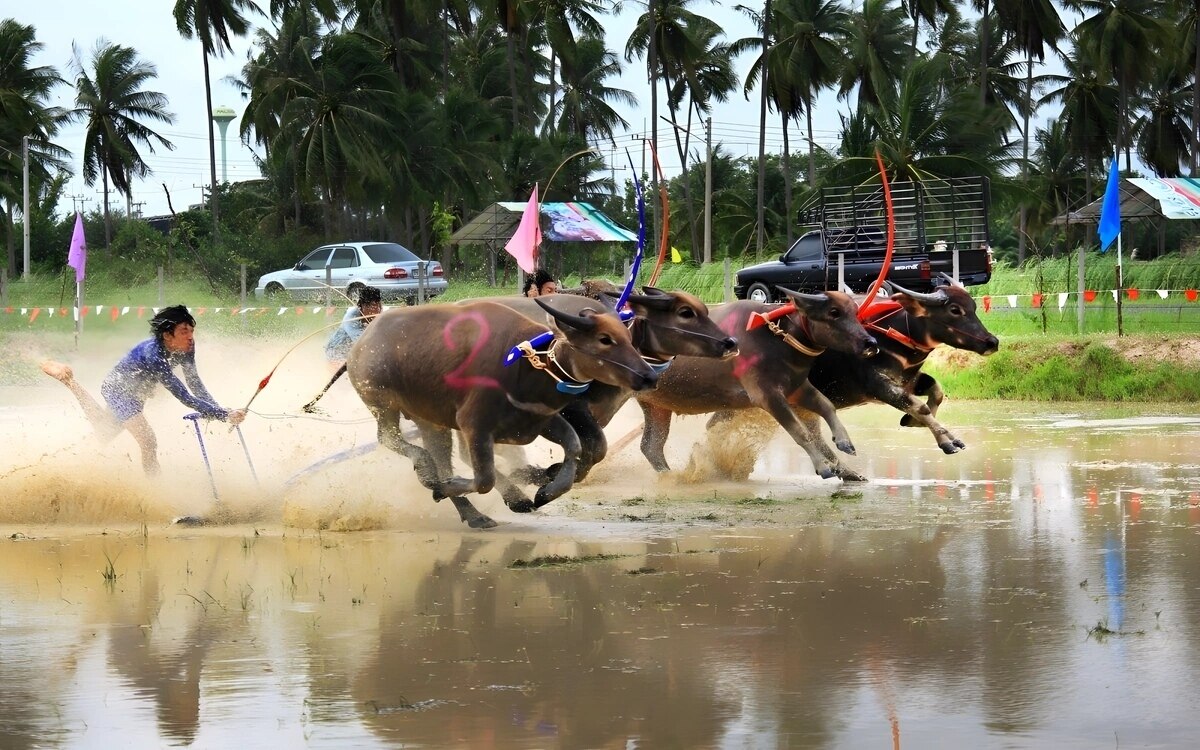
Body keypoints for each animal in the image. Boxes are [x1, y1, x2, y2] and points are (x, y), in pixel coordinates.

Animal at [350, 296, 657, 525]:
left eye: (627, 337)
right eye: (604, 339)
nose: (649, 376)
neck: (525, 364)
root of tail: (362, 343)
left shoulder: (541, 419)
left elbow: (574, 447)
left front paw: (546, 489)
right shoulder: (474, 425)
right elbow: (484, 478)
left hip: (429, 420)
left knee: (440, 457)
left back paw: (475, 513)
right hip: (382, 403)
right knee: (391, 439)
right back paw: (430, 473)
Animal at [638, 289, 883, 477]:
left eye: (854, 312)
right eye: (834, 312)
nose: (870, 342)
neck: (777, 339)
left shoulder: (797, 388)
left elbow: (826, 405)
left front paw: (844, 442)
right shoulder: (767, 396)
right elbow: (800, 431)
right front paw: (823, 468)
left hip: (655, 405)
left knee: (651, 446)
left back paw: (669, 476)